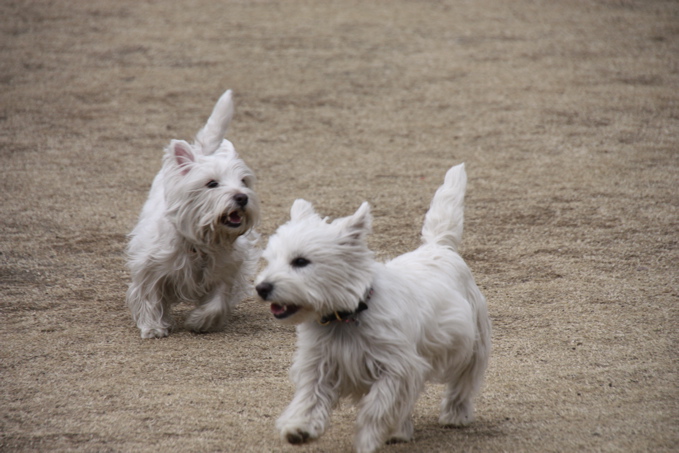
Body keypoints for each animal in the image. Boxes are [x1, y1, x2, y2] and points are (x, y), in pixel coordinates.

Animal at [125, 90, 260, 338]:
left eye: (243, 181)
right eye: (212, 183)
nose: (242, 197)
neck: (200, 242)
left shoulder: (226, 269)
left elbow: (218, 301)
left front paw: (200, 321)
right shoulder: (149, 267)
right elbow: (148, 296)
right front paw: (153, 327)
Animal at [255, 163, 488, 452]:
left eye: (300, 261)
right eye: (270, 260)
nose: (261, 288)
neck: (345, 315)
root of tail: (439, 246)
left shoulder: (397, 368)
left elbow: (378, 407)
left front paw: (366, 440)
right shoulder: (319, 364)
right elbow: (310, 399)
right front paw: (299, 428)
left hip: (472, 344)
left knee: (463, 383)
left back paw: (455, 415)